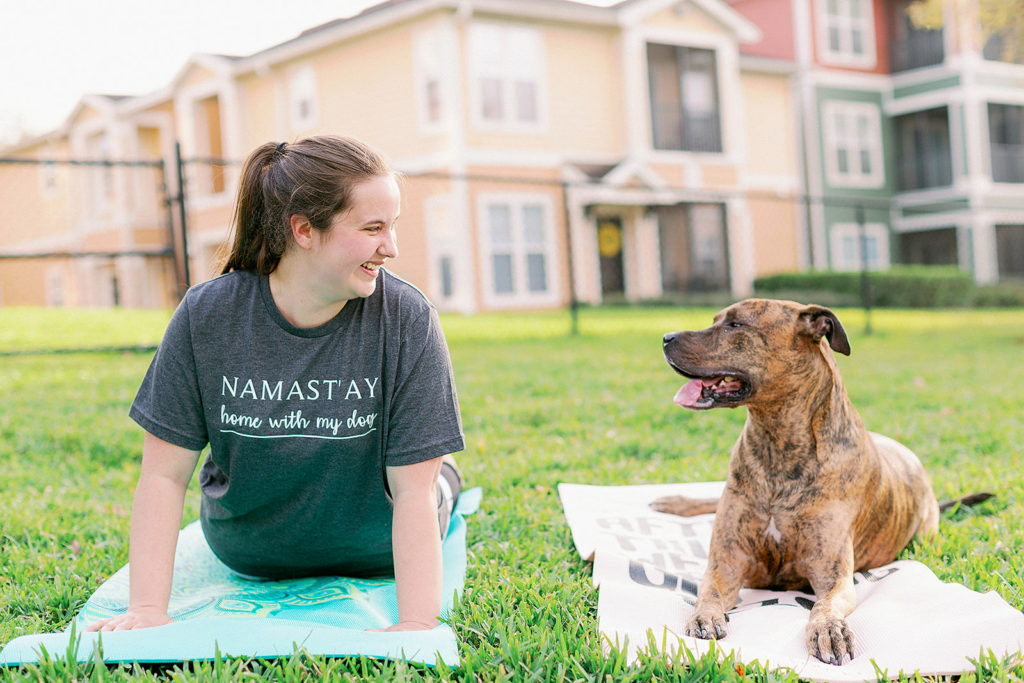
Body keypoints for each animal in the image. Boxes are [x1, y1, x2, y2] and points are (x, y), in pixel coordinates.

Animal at [651, 296, 937, 663]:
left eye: (735, 325)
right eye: (716, 320)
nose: (665, 337)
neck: (778, 444)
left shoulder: (833, 574)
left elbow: (825, 606)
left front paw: (829, 629)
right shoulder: (727, 561)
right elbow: (708, 591)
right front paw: (704, 616)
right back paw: (673, 501)